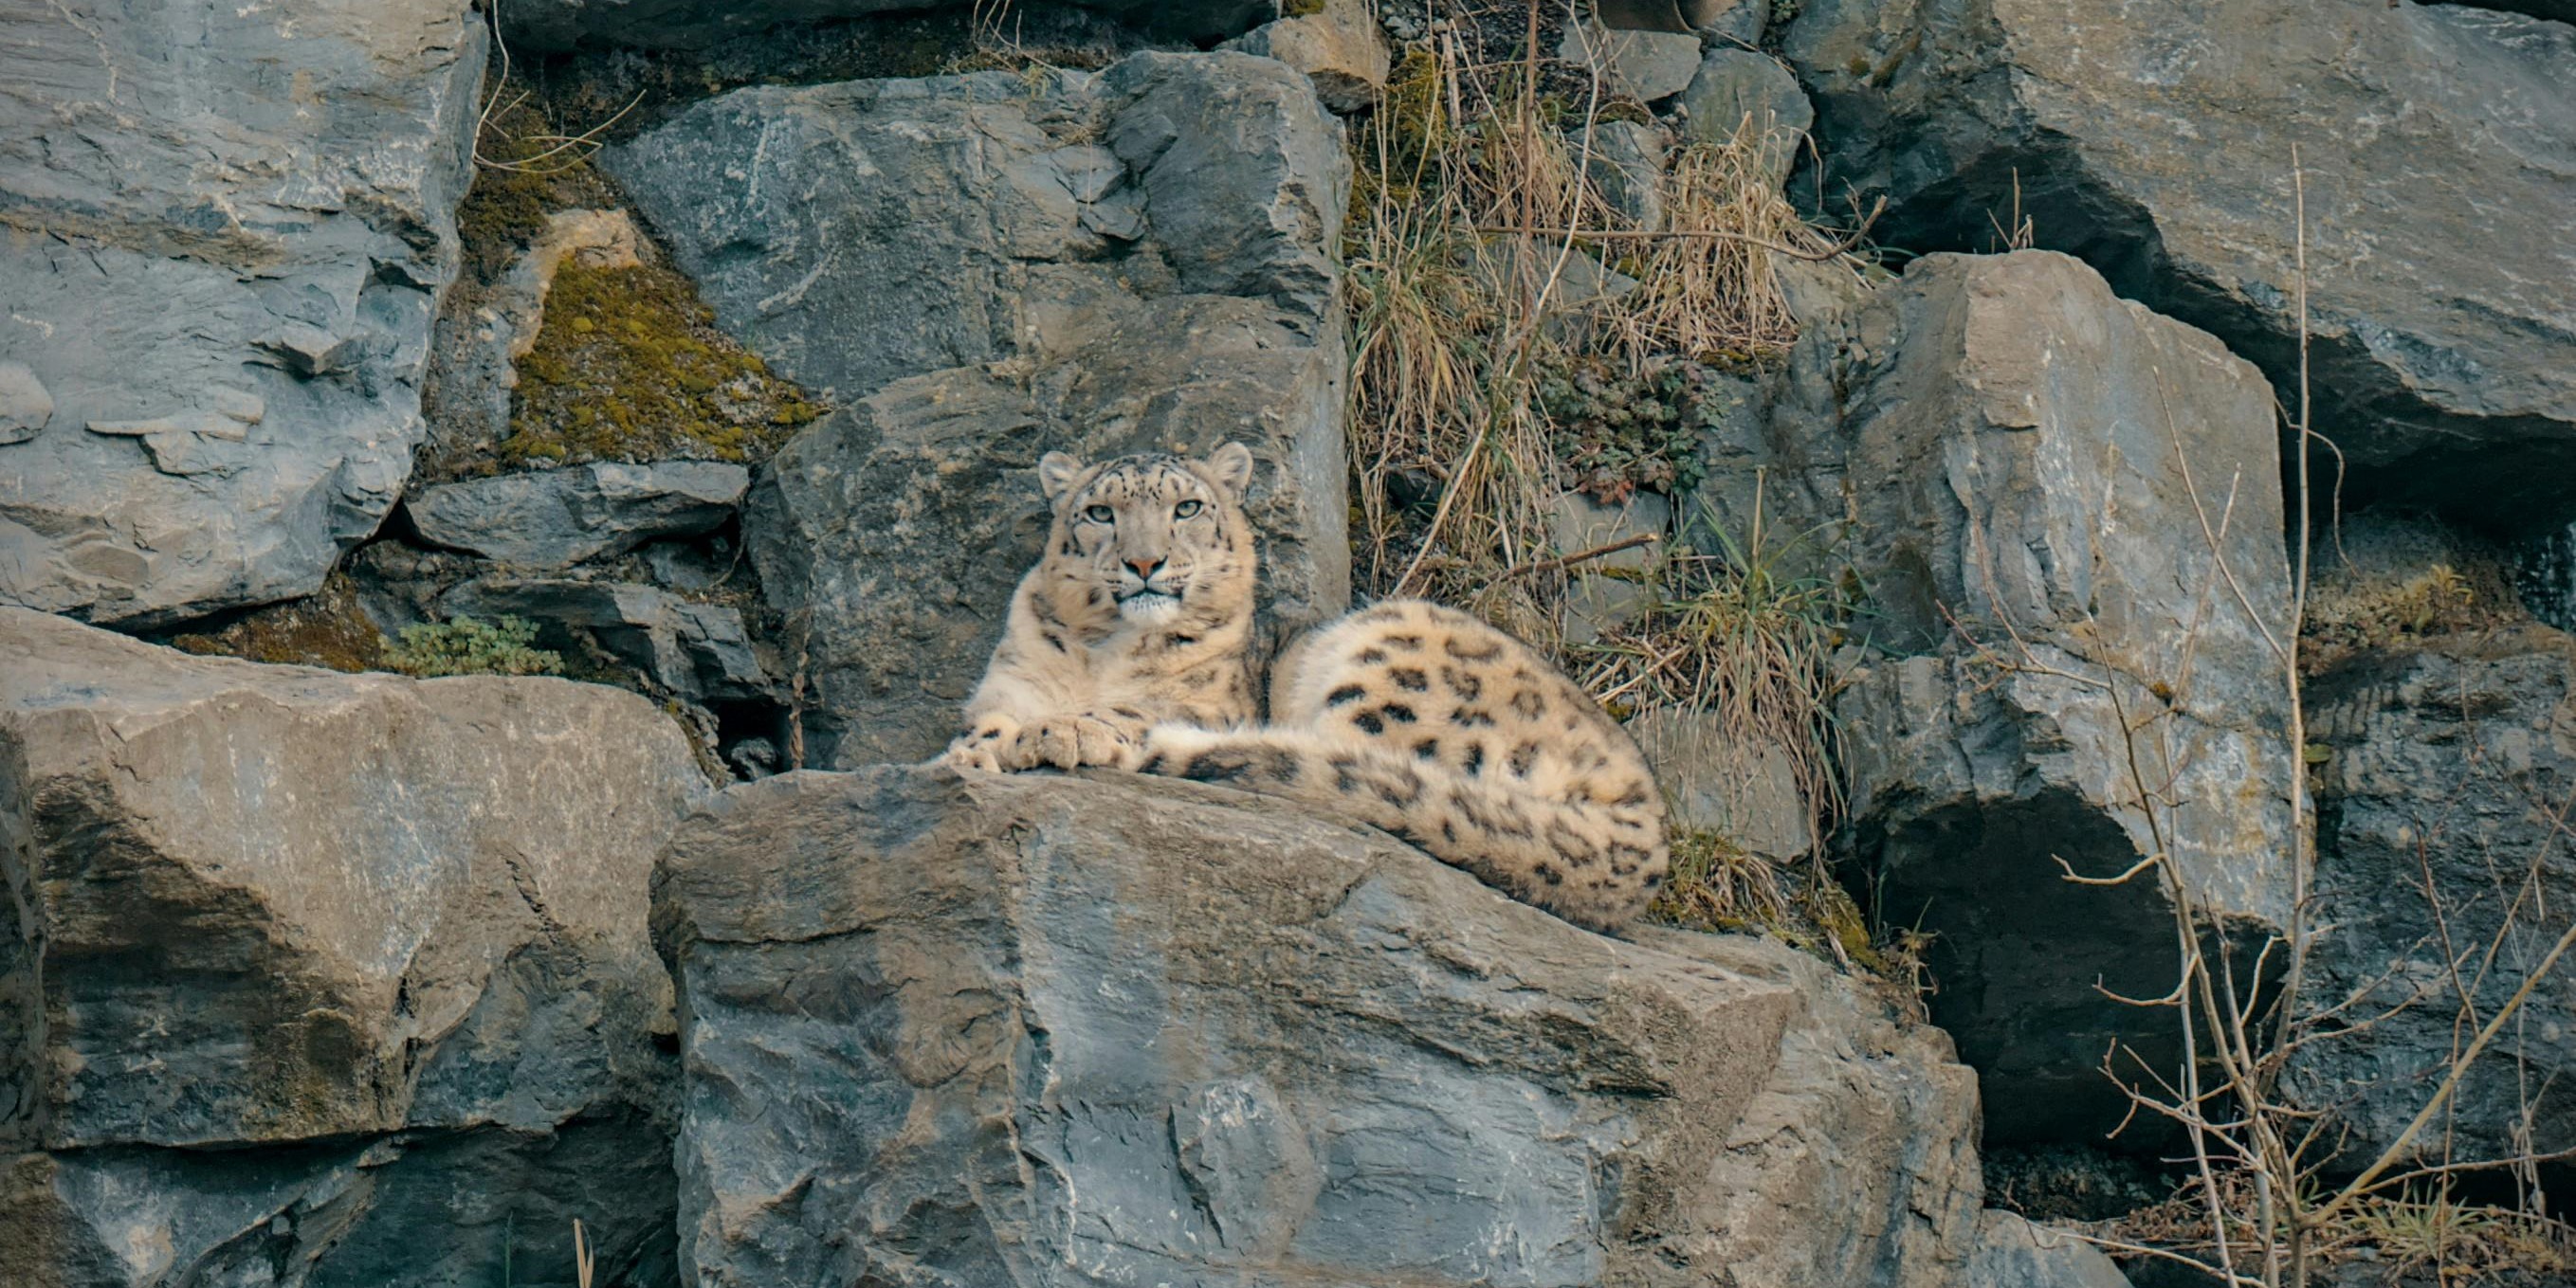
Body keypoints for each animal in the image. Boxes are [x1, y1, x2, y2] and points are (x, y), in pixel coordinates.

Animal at [938, 442, 1262, 775]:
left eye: (1187, 507)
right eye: (1101, 512)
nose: (1144, 562)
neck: (1105, 649)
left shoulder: (1207, 702)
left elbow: (1135, 710)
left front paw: (1063, 730)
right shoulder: (1016, 682)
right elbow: (985, 725)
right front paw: (967, 757)